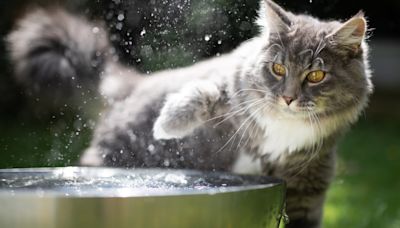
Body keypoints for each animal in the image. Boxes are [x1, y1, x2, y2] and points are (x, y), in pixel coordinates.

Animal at [7, 0, 374, 226]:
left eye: (316, 75)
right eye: (278, 68)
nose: (287, 98)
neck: (284, 126)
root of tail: (134, 86)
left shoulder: (307, 185)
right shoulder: (230, 84)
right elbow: (204, 92)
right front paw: (167, 124)